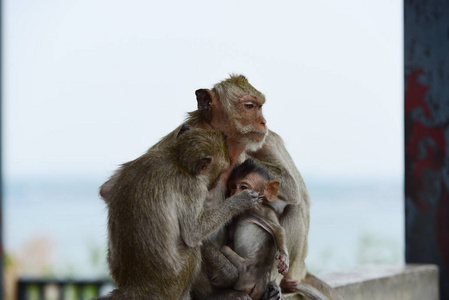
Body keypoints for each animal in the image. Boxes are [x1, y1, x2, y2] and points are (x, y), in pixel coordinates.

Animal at [98, 127, 260, 300]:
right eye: (220, 173)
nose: (216, 182)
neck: (176, 160)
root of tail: (136, 286)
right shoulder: (193, 188)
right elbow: (193, 233)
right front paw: (240, 201)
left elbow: (108, 190)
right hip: (175, 281)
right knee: (192, 249)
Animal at [222, 158, 288, 298]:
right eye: (233, 186)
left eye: (243, 187)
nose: (234, 194)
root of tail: (260, 282)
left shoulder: (261, 211)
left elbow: (278, 229)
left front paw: (284, 257)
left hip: (244, 273)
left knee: (224, 248)